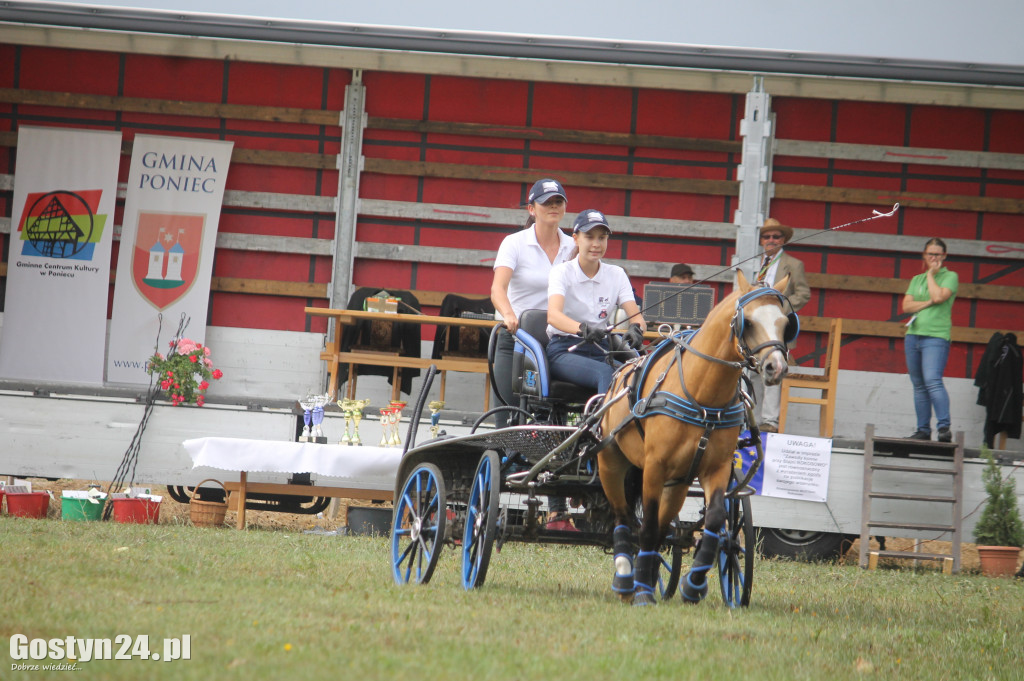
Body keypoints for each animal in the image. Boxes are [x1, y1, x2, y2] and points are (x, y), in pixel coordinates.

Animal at [593, 268, 798, 602]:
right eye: (750, 322)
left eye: (785, 323)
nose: (775, 367)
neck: (703, 398)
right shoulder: (654, 466)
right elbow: (646, 527)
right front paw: (643, 592)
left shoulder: (715, 468)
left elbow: (713, 519)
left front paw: (694, 583)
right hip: (612, 464)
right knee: (624, 518)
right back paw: (626, 579)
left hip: (677, 482)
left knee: (663, 527)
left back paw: (649, 576)